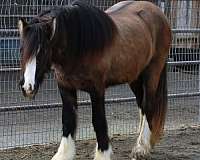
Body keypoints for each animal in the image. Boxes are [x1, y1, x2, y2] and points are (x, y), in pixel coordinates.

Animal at [18, 0, 171, 159]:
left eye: (43, 50)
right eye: (22, 49)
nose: (27, 87)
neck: (80, 45)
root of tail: (159, 13)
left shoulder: (97, 90)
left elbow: (98, 121)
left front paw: (102, 153)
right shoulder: (65, 87)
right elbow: (68, 120)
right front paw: (64, 154)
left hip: (152, 73)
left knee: (148, 105)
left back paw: (141, 148)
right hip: (134, 77)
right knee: (141, 105)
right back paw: (145, 143)